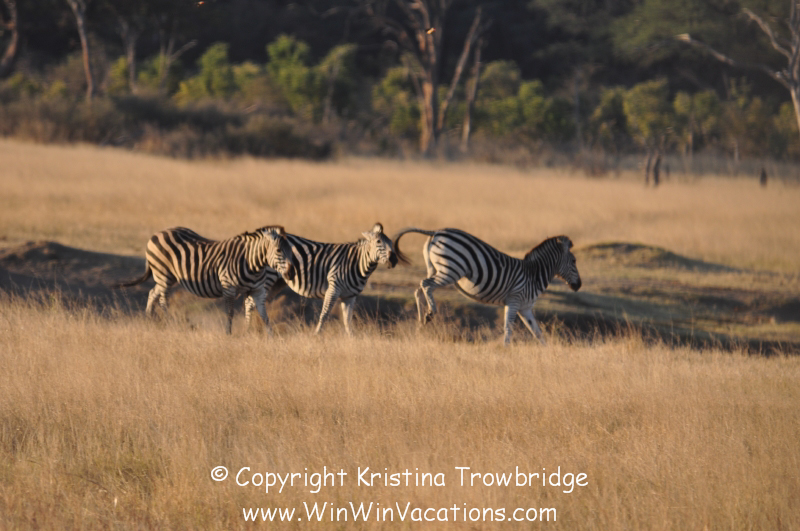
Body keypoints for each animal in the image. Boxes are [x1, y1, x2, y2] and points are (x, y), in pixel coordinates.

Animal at [114, 226, 295, 335]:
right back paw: (169, 323)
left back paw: (149, 320)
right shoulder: (228, 288)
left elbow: (264, 316)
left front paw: (270, 337)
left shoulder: (257, 290)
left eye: (291, 250)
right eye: (279, 250)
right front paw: (228, 334)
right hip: (163, 274)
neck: (253, 264)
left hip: (167, 277)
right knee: (163, 299)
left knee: (153, 293)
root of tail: (156, 234)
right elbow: (230, 312)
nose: (292, 272)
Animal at [393, 228, 581, 345]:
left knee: (418, 289)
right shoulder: (514, 301)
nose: (579, 285)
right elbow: (508, 329)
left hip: (435, 268)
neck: (533, 275)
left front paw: (546, 351)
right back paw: (431, 312)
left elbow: (537, 332)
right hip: (451, 270)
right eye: (574, 261)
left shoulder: (525, 307)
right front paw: (506, 350)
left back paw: (421, 320)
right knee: (426, 285)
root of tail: (436, 232)